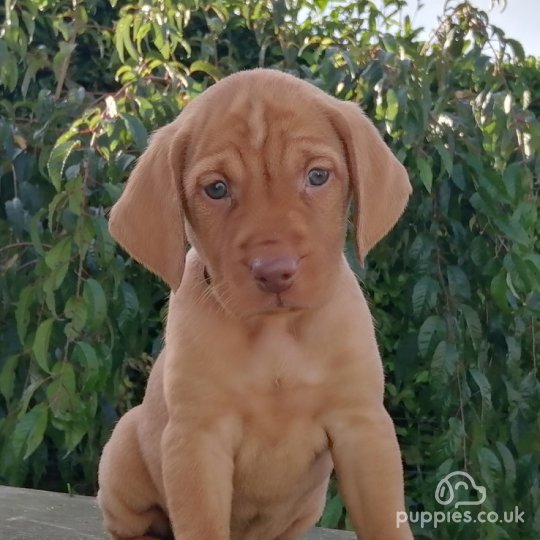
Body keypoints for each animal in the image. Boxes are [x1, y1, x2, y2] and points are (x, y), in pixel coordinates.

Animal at [98, 68, 414, 540]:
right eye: (216, 189)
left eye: (317, 176)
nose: (275, 271)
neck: (276, 334)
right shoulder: (197, 441)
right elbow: (202, 527)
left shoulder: (362, 426)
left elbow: (384, 521)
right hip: (122, 447)